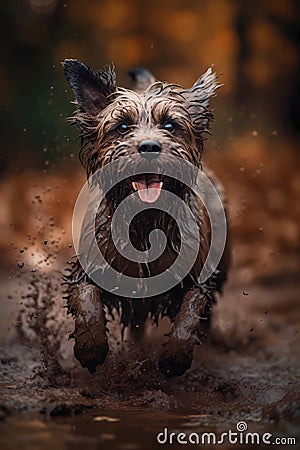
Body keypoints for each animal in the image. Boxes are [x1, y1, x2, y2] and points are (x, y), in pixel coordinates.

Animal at [61, 59, 230, 376]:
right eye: (122, 127)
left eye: (170, 125)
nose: (149, 147)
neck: (146, 222)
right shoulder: (89, 267)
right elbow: (87, 297)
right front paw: (91, 346)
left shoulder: (197, 275)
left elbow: (190, 310)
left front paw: (175, 355)